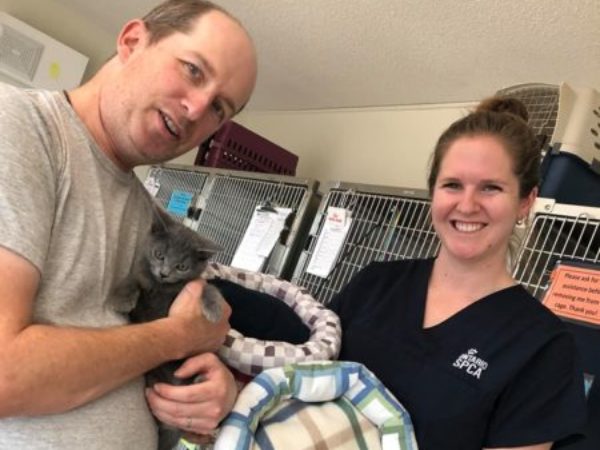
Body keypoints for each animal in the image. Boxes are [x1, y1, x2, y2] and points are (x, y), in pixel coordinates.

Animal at [124, 213, 225, 450]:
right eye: (159, 255)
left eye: (181, 266)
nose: (164, 273)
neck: (161, 288)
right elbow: (138, 283)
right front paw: (129, 293)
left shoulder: (190, 285)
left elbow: (210, 288)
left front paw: (214, 310)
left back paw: (199, 381)